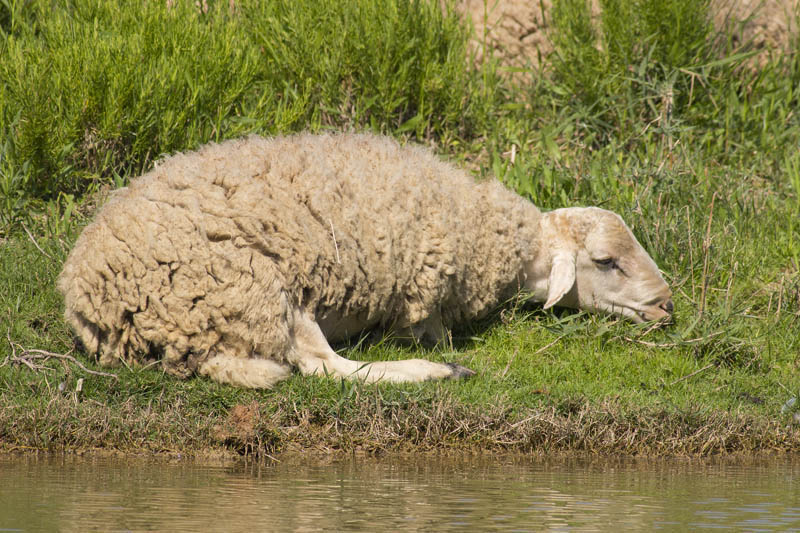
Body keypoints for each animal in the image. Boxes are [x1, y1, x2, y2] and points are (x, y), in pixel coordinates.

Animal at [56, 132, 672, 386]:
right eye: (607, 262)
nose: (666, 306)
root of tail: (92, 302)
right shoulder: (425, 298)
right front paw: (440, 356)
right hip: (254, 290)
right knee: (323, 367)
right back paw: (439, 372)